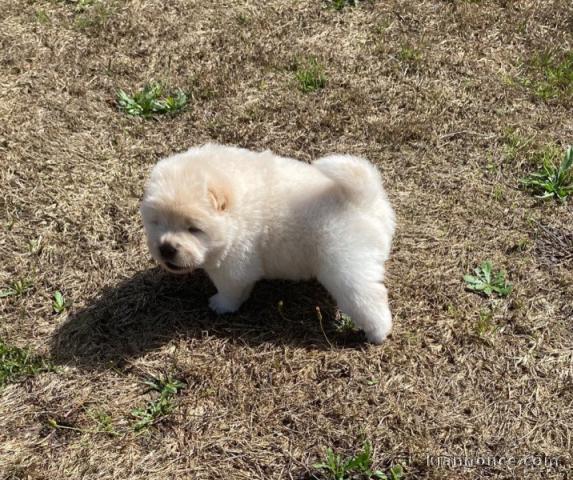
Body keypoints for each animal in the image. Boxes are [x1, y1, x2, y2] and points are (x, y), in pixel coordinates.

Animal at [141, 144, 396, 344]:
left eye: (193, 228)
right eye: (157, 222)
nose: (166, 248)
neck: (237, 212)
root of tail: (364, 201)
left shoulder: (233, 266)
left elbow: (230, 291)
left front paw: (221, 306)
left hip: (346, 270)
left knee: (370, 299)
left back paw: (377, 333)